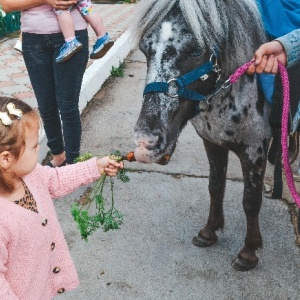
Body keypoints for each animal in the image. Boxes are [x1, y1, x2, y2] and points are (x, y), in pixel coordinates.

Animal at [132, 0, 274, 272]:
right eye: (145, 48)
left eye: (197, 51)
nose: (146, 143)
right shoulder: (212, 143)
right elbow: (215, 186)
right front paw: (210, 231)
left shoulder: (255, 150)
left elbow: (251, 201)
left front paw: (248, 251)